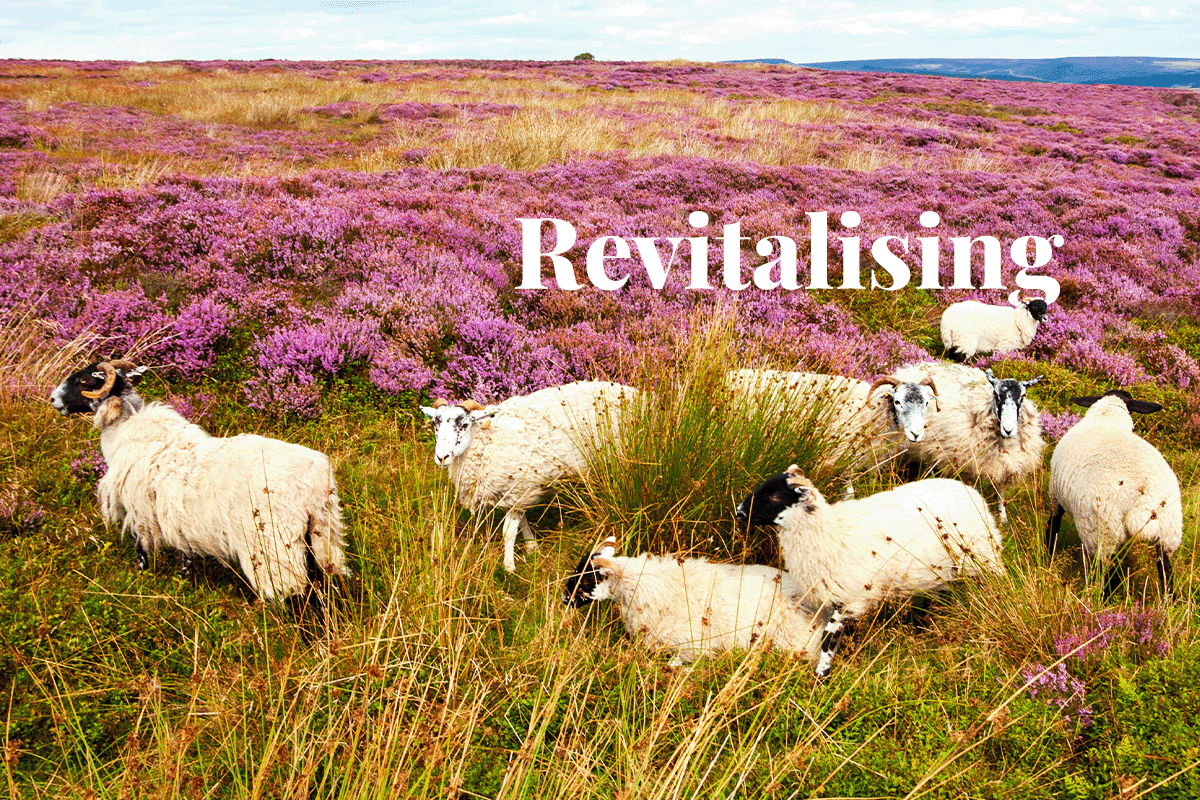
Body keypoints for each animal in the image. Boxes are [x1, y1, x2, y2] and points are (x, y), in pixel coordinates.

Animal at [47, 357, 348, 606]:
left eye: (84, 380)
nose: (52, 399)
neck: (125, 428)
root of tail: (311, 483)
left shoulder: (140, 511)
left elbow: (141, 548)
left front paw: (142, 579)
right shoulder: (176, 518)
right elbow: (185, 556)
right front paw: (184, 581)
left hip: (273, 544)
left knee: (290, 589)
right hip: (322, 533)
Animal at [427, 381, 643, 573]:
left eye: (464, 424)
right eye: (435, 425)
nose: (442, 457)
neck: (487, 440)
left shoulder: (519, 489)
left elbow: (508, 532)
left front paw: (509, 567)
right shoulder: (520, 489)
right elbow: (522, 522)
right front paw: (532, 547)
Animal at [888, 362, 1046, 525]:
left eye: (1023, 396)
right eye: (995, 394)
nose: (1008, 429)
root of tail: (914, 366)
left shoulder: (1003, 463)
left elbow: (1000, 491)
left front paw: (1003, 519)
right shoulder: (975, 460)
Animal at [1046, 388, 1185, 594]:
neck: (1106, 419)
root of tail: (1143, 504)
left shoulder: (1055, 496)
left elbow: (1053, 527)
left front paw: (1048, 555)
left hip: (1103, 531)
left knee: (1108, 569)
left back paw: (1104, 598)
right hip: (1168, 532)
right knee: (1165, 569)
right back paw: (1169, 599)